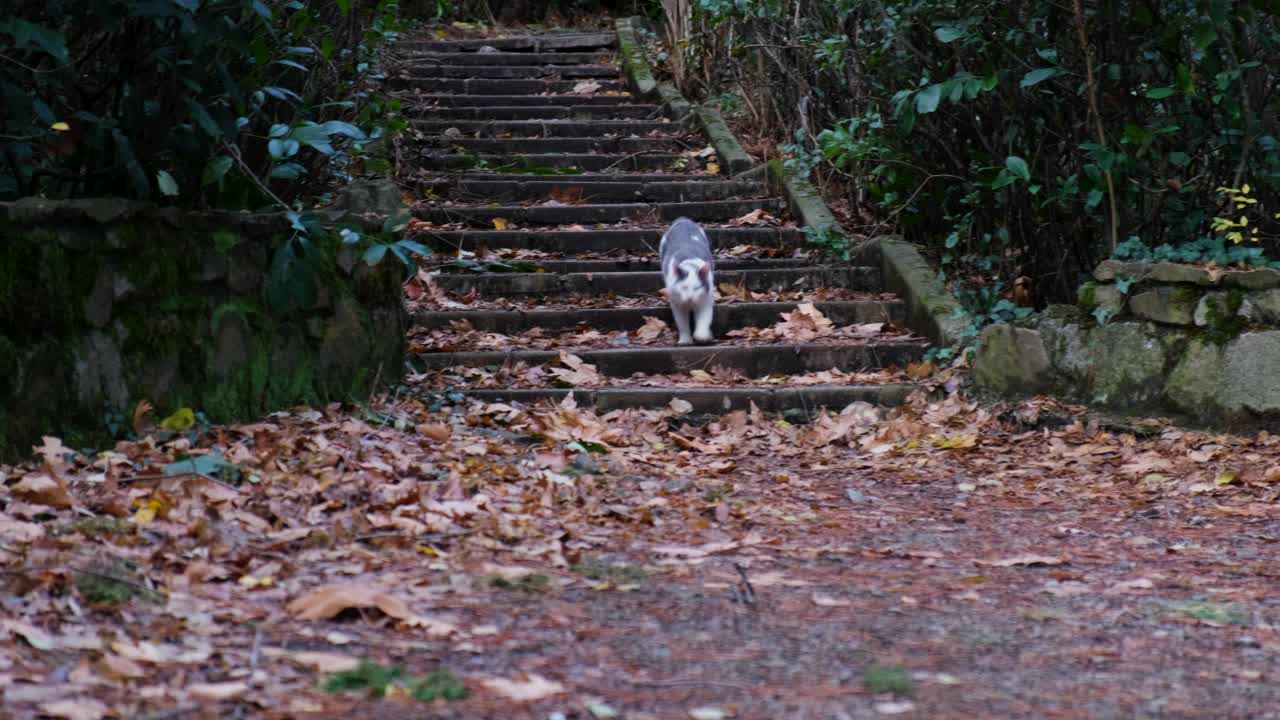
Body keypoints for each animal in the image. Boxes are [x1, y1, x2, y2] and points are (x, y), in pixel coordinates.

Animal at [655, 215, 716, 345]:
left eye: (697, 288)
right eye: (683, 287)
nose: (690, 298)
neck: (690, 266)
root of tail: (683, 220)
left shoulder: (706, 299)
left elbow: (704, 319)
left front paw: (703, 336)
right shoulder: (677, 303)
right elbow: (682, 323)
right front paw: (685, 340)